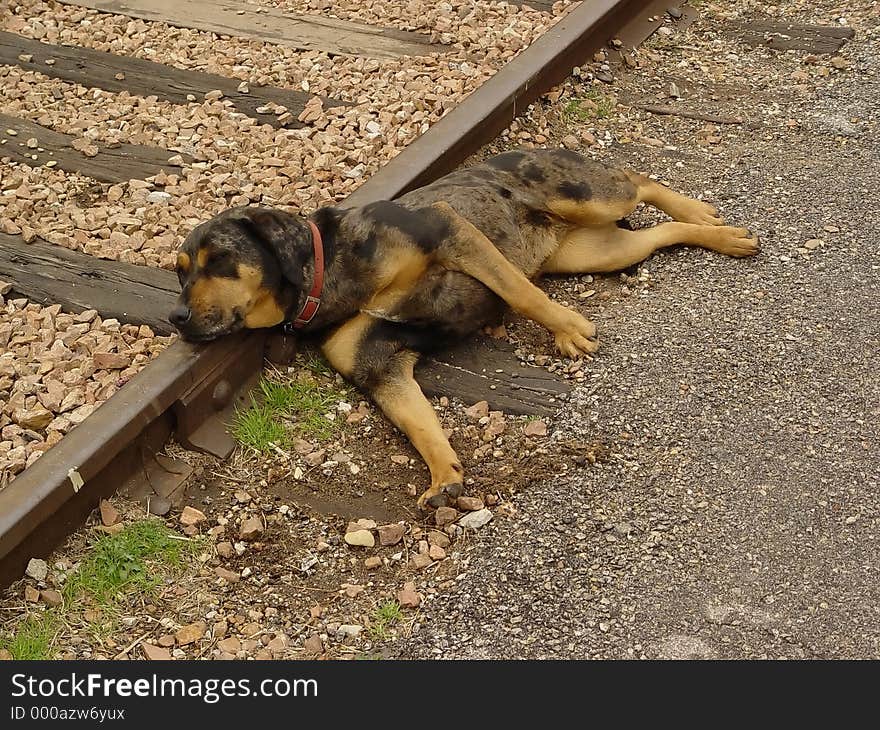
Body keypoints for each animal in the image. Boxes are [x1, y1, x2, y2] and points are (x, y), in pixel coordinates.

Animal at [170, 149, 756, 506]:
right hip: (597, 252)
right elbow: (420, 424)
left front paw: (567, 327)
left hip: (587, 196)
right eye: (179, 272)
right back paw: (720, 235)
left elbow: (522, 293)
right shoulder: (379, 364)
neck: (326, 270)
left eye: (219, 259)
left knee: (640, 181)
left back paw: (707, 216)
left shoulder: (451, 230)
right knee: (658, 234)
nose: (175, 317)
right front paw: (443, 477)